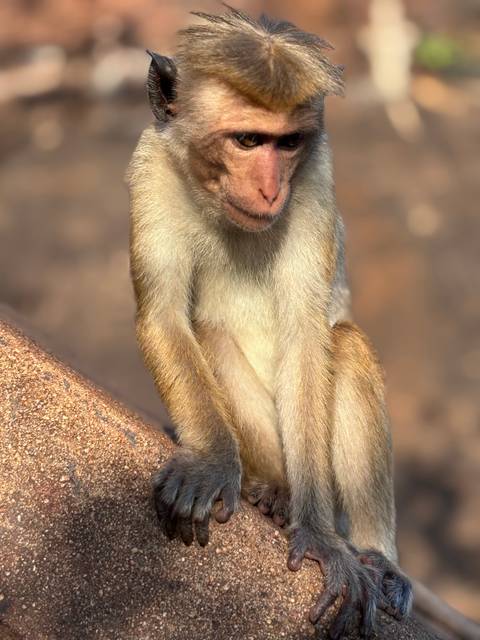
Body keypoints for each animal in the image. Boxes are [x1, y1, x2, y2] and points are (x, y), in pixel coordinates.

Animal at [127, 7, 414, 637]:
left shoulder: (314, 182)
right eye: (247, 139)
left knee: (345, 345)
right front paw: (212, 461)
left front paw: (321, 538)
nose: (270, 186)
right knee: (209, 334)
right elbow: (164, 314)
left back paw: (372, 553)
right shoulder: (151, 169)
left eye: (288, 143)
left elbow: (308, 339)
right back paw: (273, 488)